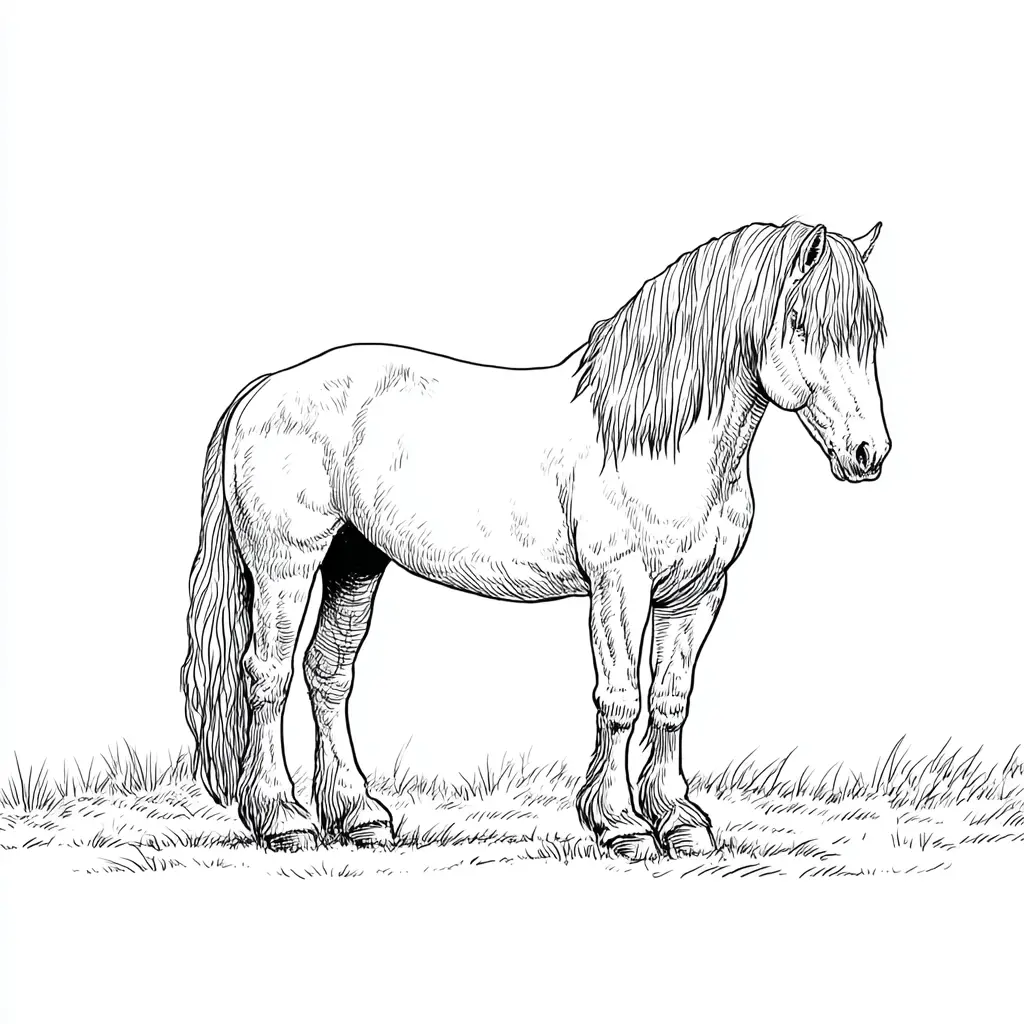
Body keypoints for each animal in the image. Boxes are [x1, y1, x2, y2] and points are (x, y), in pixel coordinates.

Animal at [181, 219, 890, 860]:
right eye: (800, 322)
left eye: (870, 337)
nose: (868, 453)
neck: (652, 438)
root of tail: (259, 393)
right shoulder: (619, 582)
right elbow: (620, 697)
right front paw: (619, 825)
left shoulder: (696, 592)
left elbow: (670, 701)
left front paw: (679, 821)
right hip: (287, 566)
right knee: (266, 678)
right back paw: (283, 821)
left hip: (356, 560)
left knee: (328, 674)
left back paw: (359, 818)